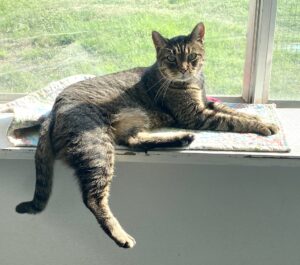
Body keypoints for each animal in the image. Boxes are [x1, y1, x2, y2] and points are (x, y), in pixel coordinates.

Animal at [15, 22, 278, 248]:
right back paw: (121, 235)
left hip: (125, 129)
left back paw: (181, 139)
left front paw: (264, 120)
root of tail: (53, 109)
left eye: (192, 56)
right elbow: (232, 119)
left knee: (133, 141)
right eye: (171, 58)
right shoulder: (195, 114)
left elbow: (234, 111)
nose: (184, 69)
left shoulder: (206, 104)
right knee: (93, 197)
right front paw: (263, 126)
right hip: (97, 147)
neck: (193, 83)